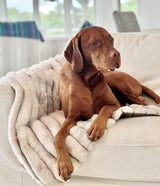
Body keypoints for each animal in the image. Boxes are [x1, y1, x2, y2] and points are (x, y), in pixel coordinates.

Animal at [54, 26, 160, 180]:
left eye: (112, 40)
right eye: (94, 43)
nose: (117, 54)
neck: (88, 80)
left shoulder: (113, 104)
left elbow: (104, 108)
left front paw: (96, 127)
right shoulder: (72, 117)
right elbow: (57, 138)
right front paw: (63, 165)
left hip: (115, 80)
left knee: (141, 100)